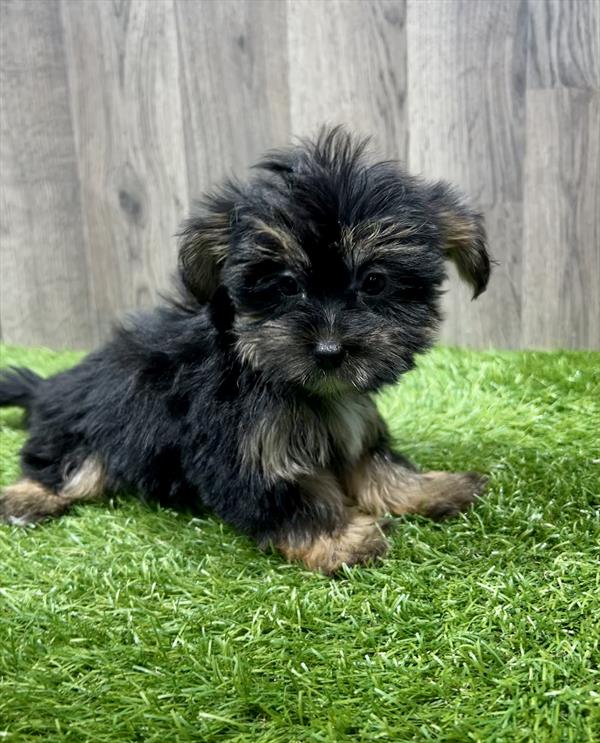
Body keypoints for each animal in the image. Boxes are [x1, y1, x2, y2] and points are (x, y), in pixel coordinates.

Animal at [0, 126, 488, 576]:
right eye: (286, 285)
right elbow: (290, 497)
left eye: (374, 282)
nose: (330, 350)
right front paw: (343, 539)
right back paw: (25, 499)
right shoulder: (240, 448)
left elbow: (375, 464)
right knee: (64, 467)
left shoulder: (351, 425)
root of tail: (50, 389)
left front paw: (428, 489)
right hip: (87, 429)